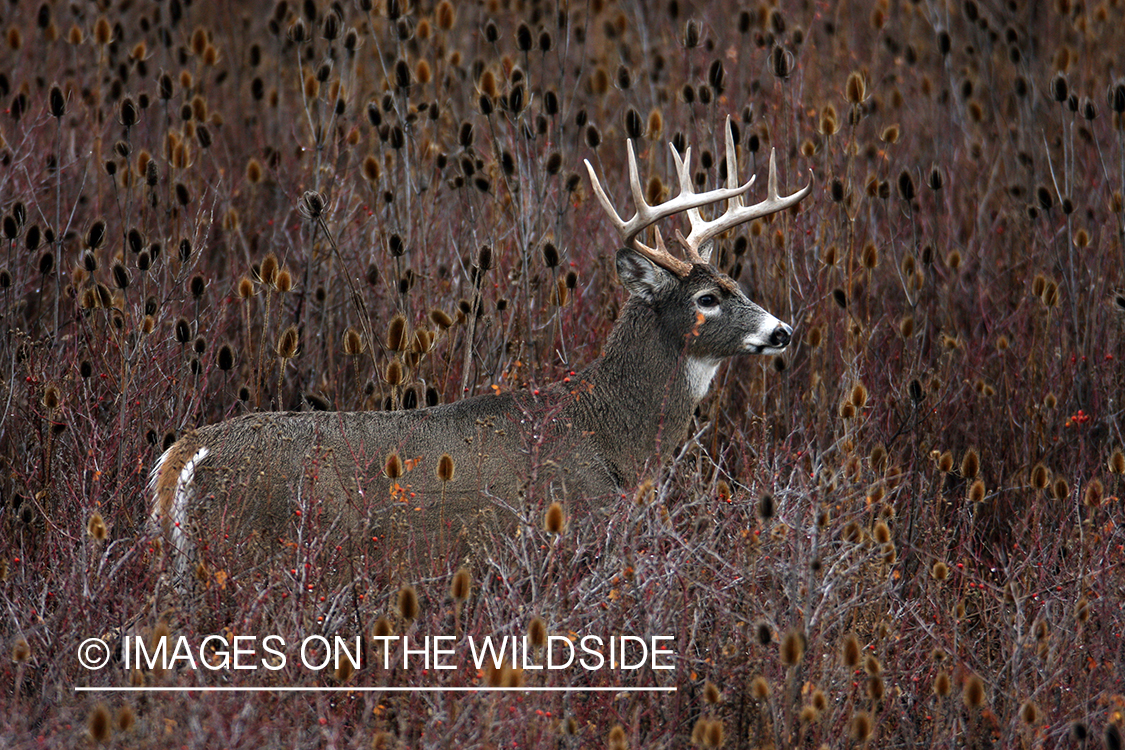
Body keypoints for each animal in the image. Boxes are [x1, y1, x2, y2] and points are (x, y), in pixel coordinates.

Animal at [151, 115, 810, 584]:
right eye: (707, 298)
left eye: (736, 282)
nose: (782, 330)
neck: (612, 436)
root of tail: (184, 456)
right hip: (248, 554)